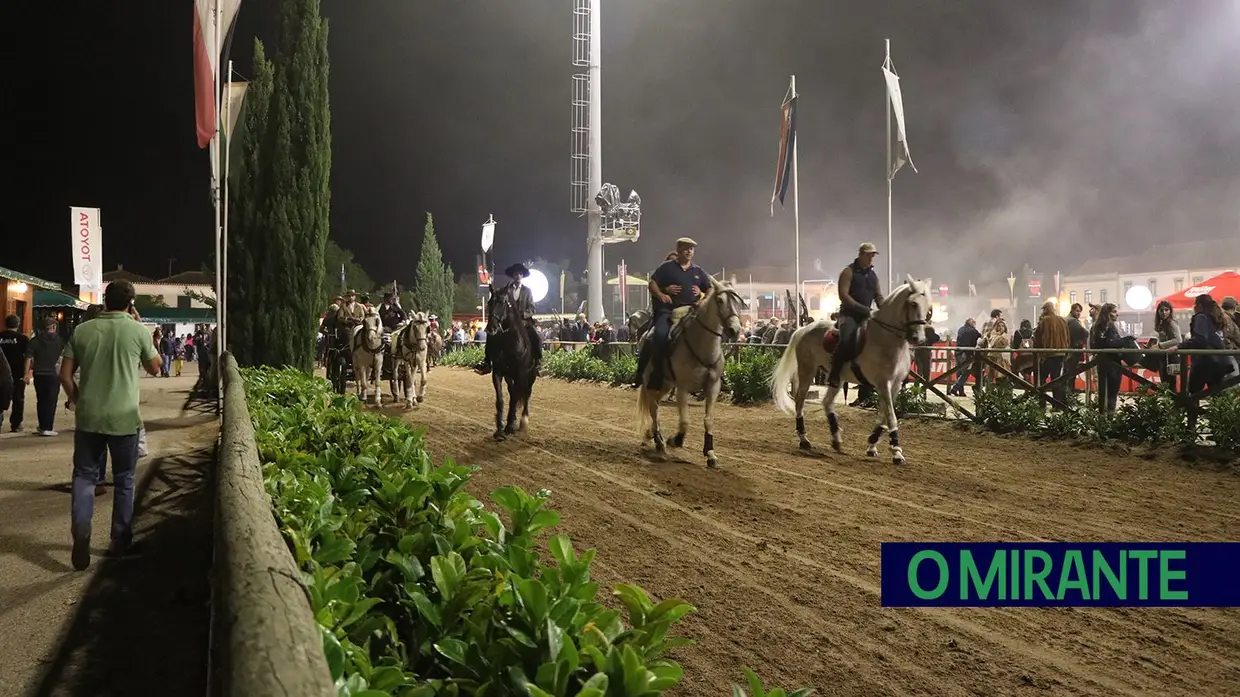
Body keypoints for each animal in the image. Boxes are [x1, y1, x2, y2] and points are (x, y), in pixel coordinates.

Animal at [483, 284, 538, 439]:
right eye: (489, 302)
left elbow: (515, 398)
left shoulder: (520, 374)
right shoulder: (498, 373)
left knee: (527, 393)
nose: (491, 328)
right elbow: (501, 400)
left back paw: (523, 420)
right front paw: (500, 430)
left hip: (531, 375)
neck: (508, 342)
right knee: (514, 391)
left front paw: (509, 426)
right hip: (509, 376)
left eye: (502, 302)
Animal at [634, 276, 739, 466]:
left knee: (656, 406)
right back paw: (659, 442)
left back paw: (651, 434)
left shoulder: (713, 386)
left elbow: (708, 420)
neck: (701, 346)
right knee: (653, 408)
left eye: (737, 301)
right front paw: (675, 440)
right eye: (720, 300)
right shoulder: (682, 387)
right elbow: (684, 422)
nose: (735, 329)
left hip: (666, 384)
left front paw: (710, 454)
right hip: (650, 382)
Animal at [763, 275, 932, 461]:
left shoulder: (894, 385)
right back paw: (804, 439)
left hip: (836, 377)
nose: (919, 339)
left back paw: (836, 438)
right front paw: (896, 452)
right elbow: (891, 417)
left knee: (827, 402)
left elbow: (884, 415)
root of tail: (803, 330)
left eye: (928, 307)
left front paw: (872, 444)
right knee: (799, 401)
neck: (887, 339)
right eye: (913, 304)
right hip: (807, 370)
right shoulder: (882, 383)